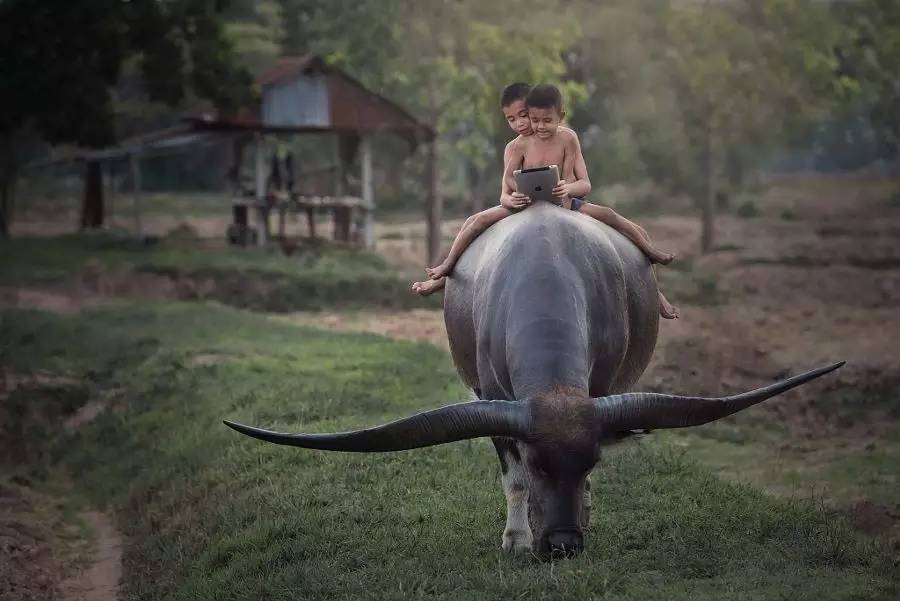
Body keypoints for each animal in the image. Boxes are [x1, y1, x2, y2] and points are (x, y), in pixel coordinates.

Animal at [227, 202, 844, 556]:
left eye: (590, 463)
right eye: (540, 462)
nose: (565, 545)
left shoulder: (599, 392)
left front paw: (582, 514)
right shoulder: (493, 401)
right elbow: (513, 480)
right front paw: (517, 540)